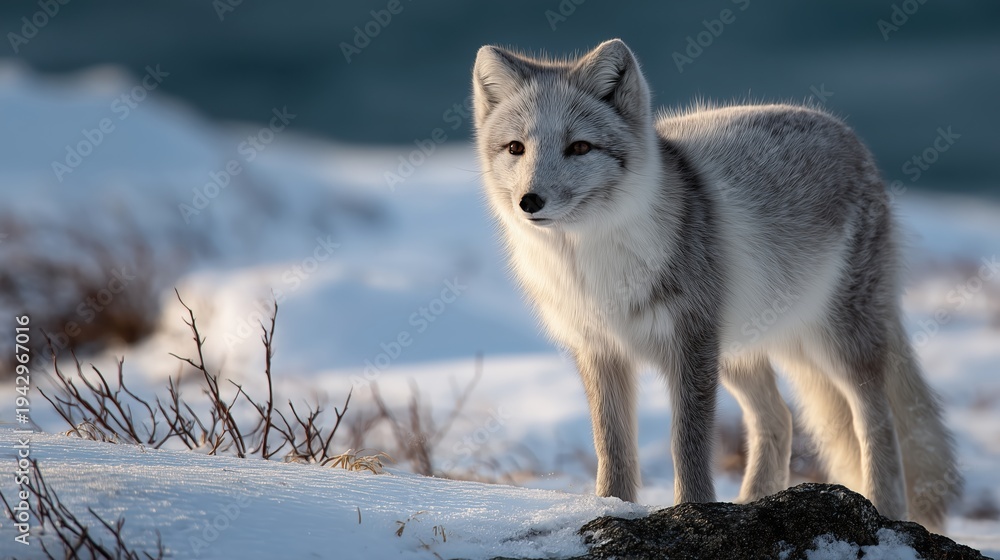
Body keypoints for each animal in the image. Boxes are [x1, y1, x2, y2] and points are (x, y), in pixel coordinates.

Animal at [471, 38, 961, 532]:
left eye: (579, 147)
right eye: (515, 147)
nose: (529, 201)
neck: (591, 266)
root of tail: (848, 134)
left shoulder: (690, 344)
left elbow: (687, 444)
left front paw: (693, 510)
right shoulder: (600, 351)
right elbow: (612, 448)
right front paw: (613, 508)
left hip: (837, 345)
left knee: (876, 424)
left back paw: (885, 510)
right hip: (742, 352)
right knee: (779, 418)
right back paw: (752, 504)